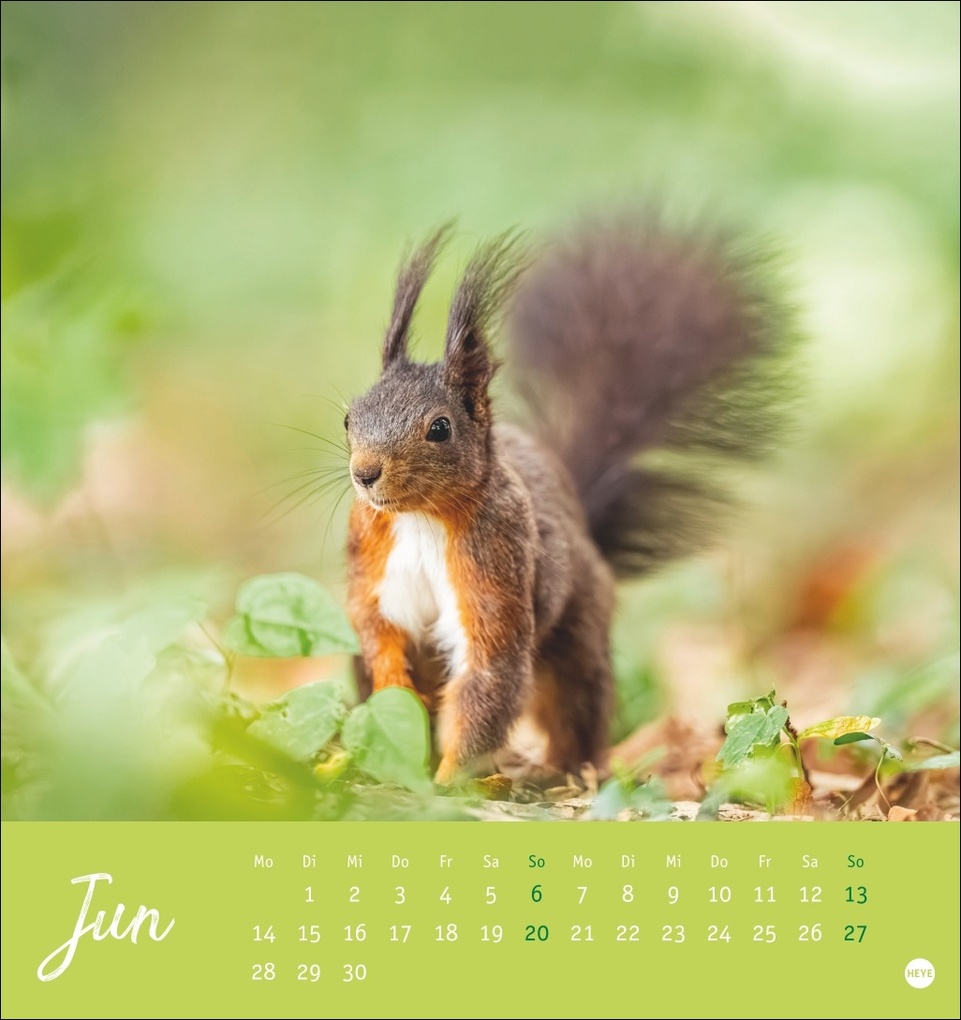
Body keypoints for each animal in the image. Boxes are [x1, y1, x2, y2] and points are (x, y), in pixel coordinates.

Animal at [344, 217, 793, 785]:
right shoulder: (371, 556)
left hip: (576, 638)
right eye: (349, 418)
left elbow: (488, 670)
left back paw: (562, 771)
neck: (419, 518)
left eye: (440, 428)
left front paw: (447, 781)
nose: (364, 474)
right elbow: (374, 628)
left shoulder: (497, 563)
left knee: (575, 701)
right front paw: (396, 701)